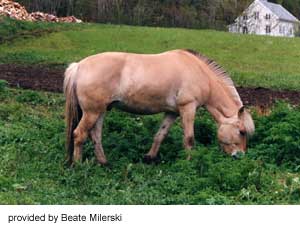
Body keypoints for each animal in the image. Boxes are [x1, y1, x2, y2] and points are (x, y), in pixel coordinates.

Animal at [64, 49, 254, 165]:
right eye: (241, 131)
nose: (240, 156)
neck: (200, 74)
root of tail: (79, 66)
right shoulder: (188, 108)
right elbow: (189, 139)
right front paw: (190, 162)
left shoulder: (172, 113)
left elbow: (160, 135)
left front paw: (150, 157)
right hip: (92, 112)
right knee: (79, 134)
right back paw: (78, 164)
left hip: (100, 111)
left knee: (95, 135)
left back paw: (104, 162)